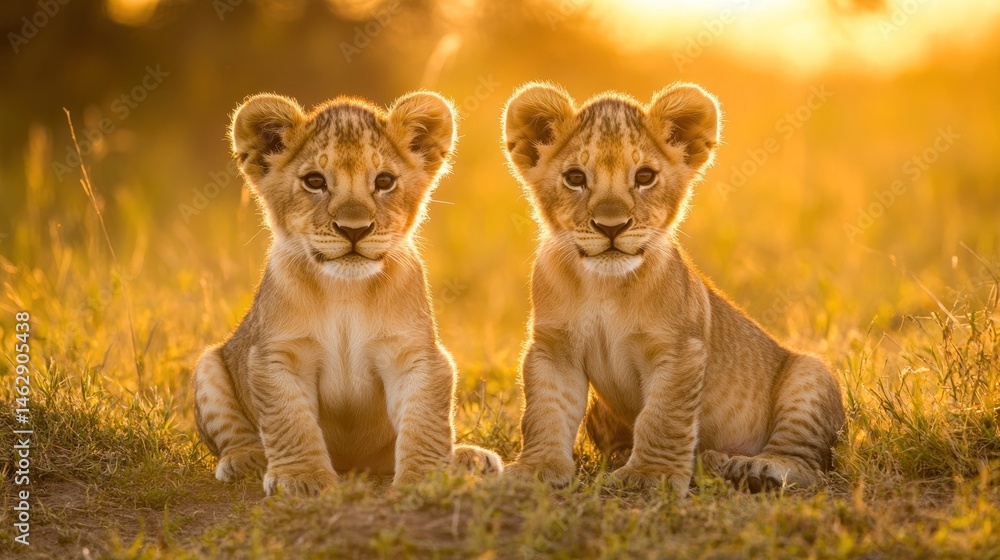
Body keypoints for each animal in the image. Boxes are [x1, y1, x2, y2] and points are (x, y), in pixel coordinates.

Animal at [192, 91, 502, 497]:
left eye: (384, 181)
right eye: (314, 181)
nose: (354, 229)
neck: (345, 290)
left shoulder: (415, 355)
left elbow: (424, 422)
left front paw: (427, 477)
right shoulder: (277, 357)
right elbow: (289, 421)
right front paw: (303, 479)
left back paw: (471, 457)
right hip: (209, 365)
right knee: (232, 433)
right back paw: (247, 460)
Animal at [501, 82, 845, 494]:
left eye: (645, 176)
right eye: (575, 178)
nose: (611, 226)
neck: (603, 285)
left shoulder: (680, 350)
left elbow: (663, 417)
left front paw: (650, 476)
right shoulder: (554, 348)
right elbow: (546, 410)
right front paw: (537, 468)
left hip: (810, 375)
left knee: (810, 466)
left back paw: (754, 469)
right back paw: (713, 462)